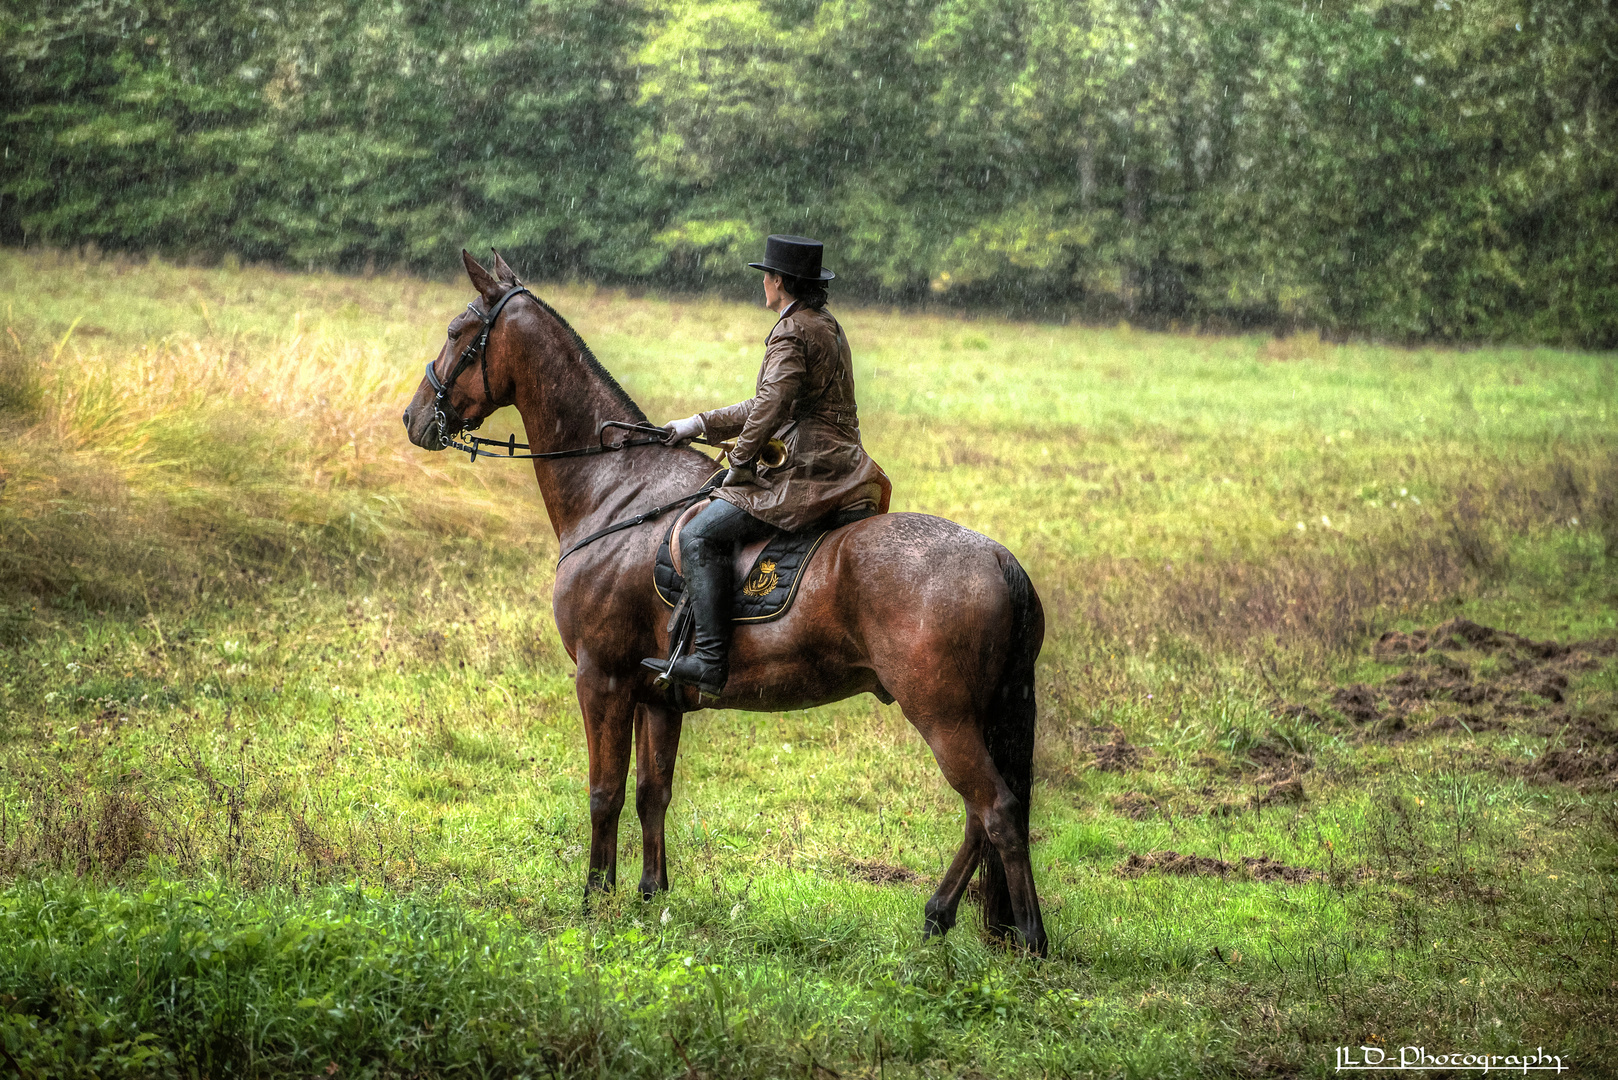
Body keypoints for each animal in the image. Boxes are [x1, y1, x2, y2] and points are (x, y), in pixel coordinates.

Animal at [394, 254, 1048, 952]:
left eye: (459, 332)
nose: (413, 418)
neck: (616, 493)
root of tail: (999, 558)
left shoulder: (601, 679)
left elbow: (605, 791)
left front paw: (595, 900)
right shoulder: (656, 695)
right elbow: (653, 792)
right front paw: (651, 895)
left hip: (943, 716)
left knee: (997, 812)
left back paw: (1030, 941)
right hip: (970, 717)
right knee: (983, 817)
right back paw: (939, 915)